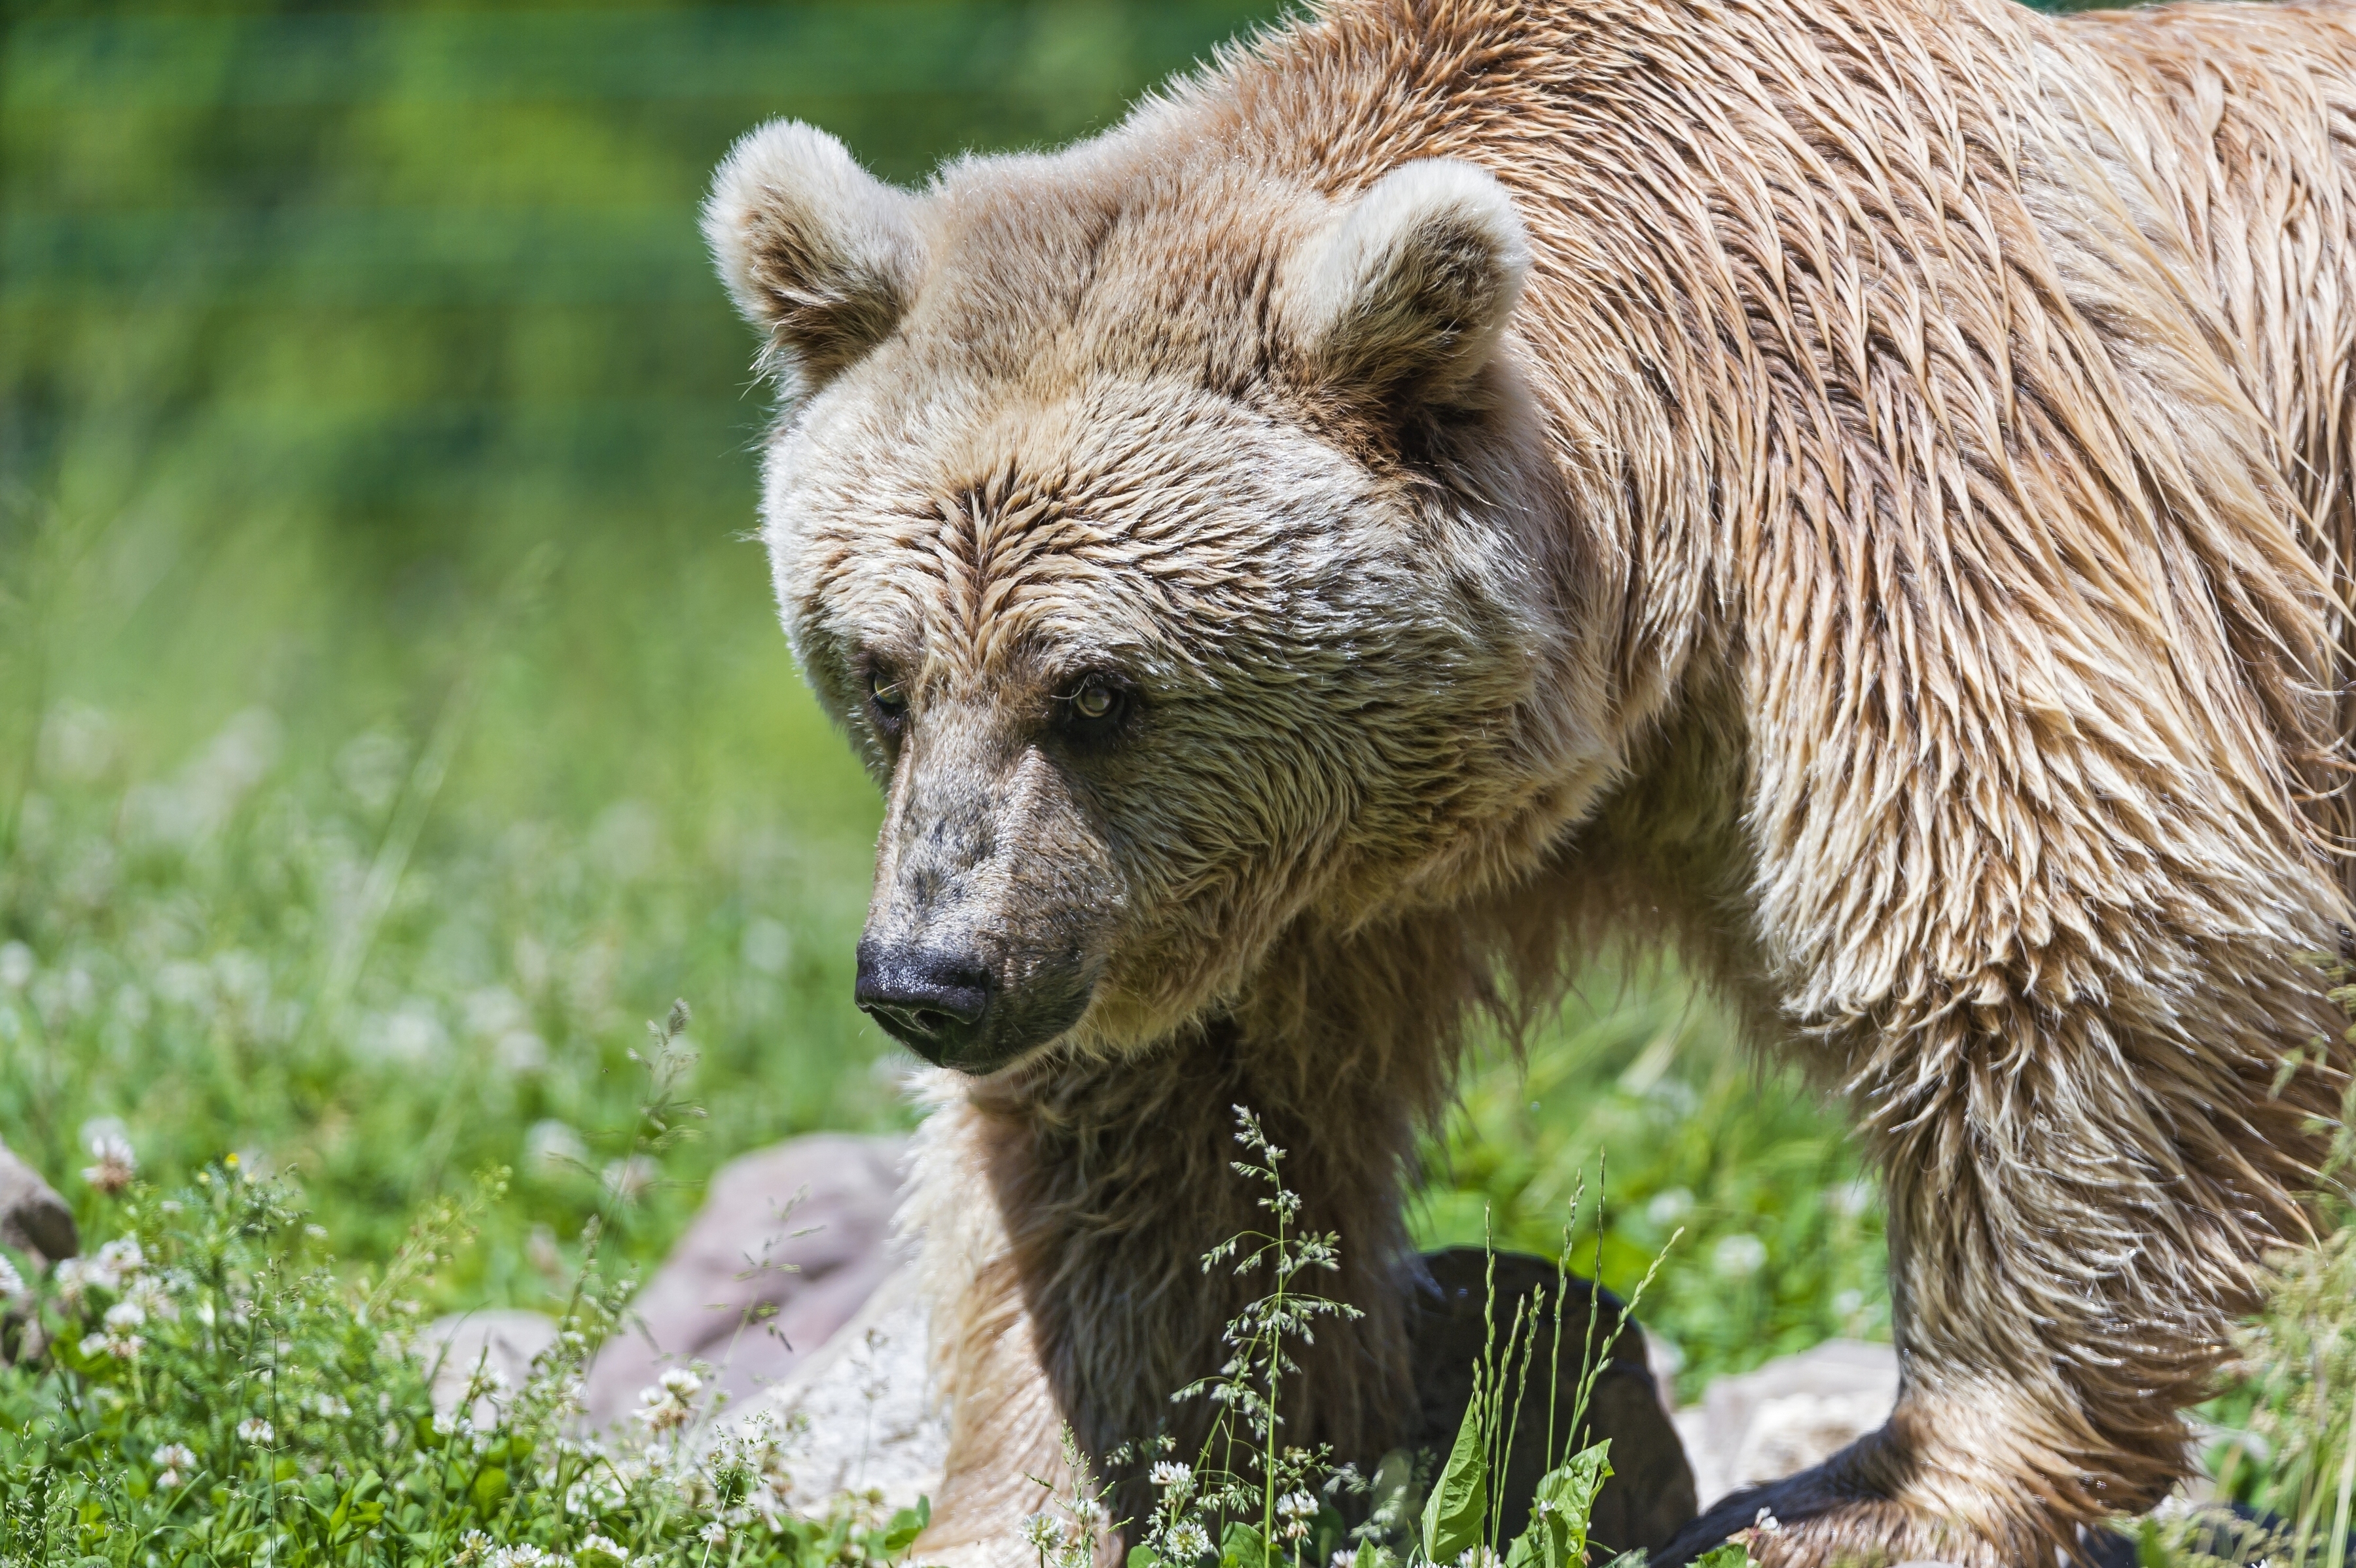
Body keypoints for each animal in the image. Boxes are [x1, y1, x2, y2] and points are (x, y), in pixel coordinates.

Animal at [697, 0, 2356, 1554]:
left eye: (1097, 690)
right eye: (883, 674)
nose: (928, 977)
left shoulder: (1928, 473)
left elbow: (2060, 939)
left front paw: (1875, 1494)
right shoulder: (1279, 880)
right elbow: (1170, 1152)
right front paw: (1068, 1489)